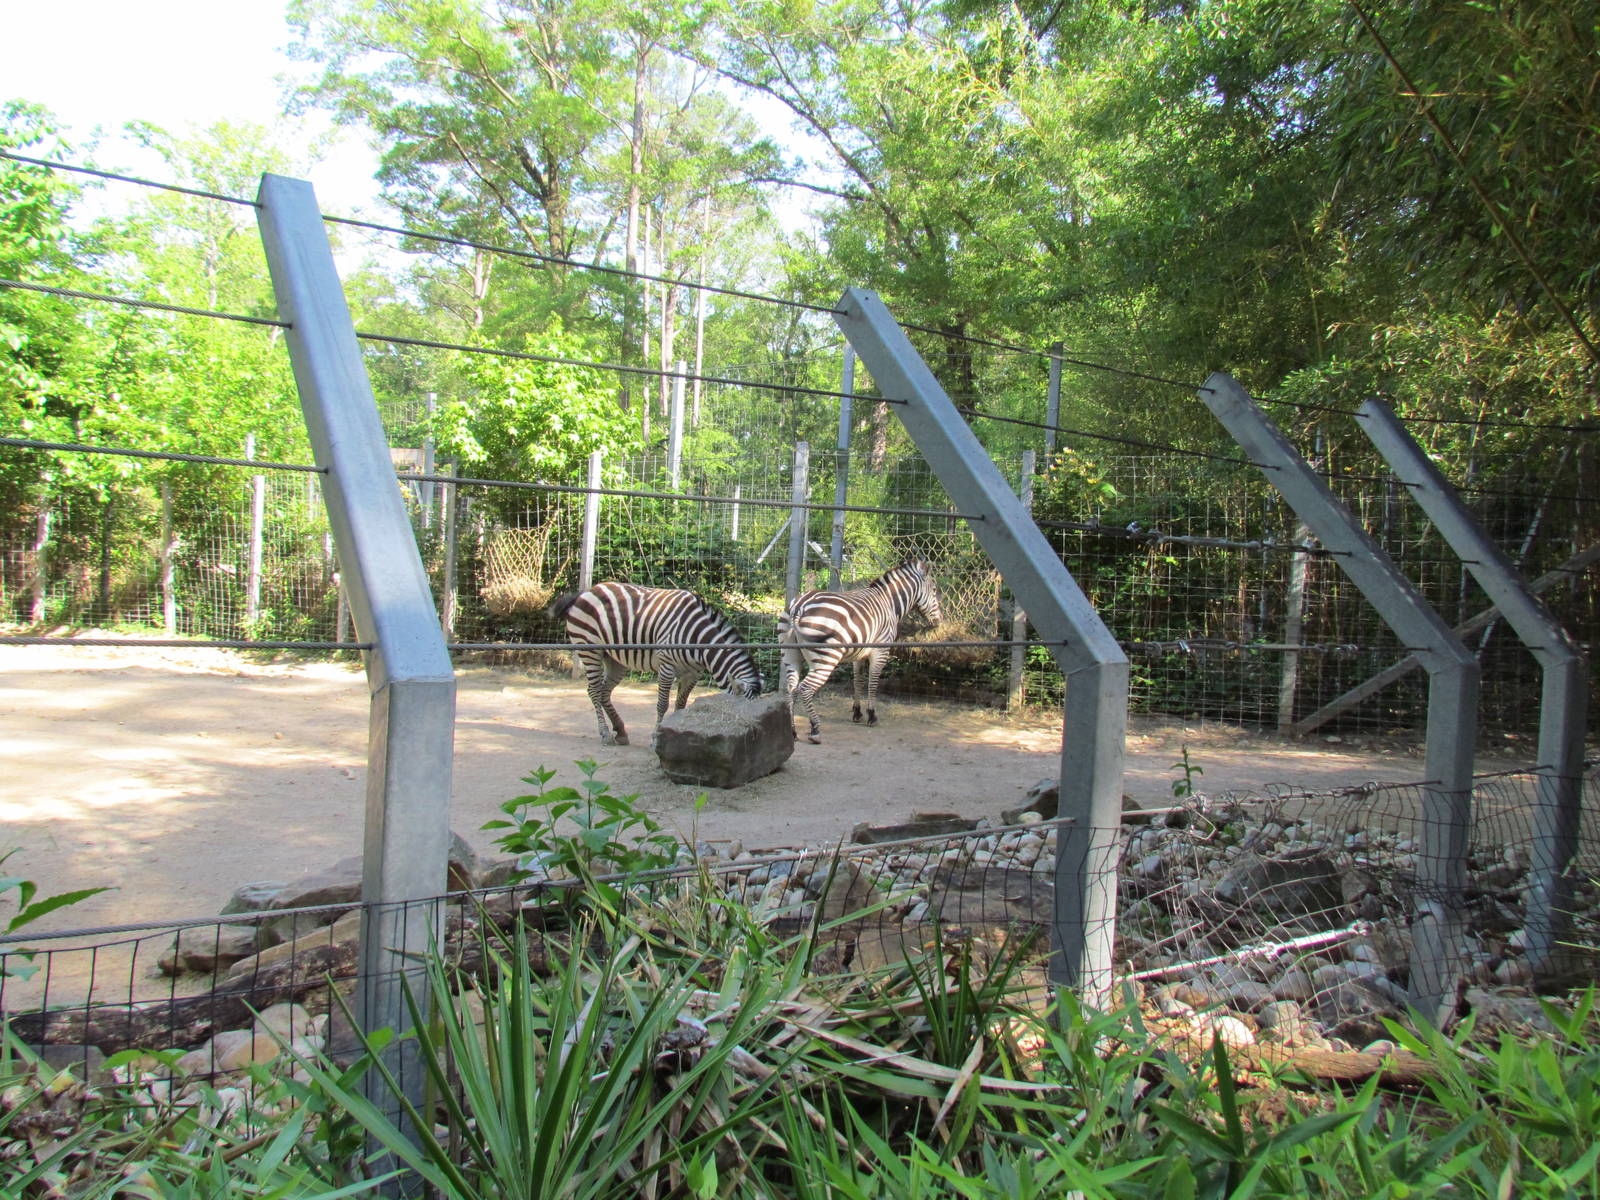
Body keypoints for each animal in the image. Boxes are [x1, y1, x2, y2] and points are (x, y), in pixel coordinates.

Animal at [549, 582, 762, 745]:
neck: (698, 638)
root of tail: (587, 591)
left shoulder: (693, 673)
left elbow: (681, 704)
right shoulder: (666, 666)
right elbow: (662, 705)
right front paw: (656, 738)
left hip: (615, 659)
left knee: (603, 692)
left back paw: (621, 731)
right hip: (589, 649)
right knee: (593, 691)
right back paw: (606, 734)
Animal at [778, 559, 943, 744]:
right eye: (934, 590)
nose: (939, 621)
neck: (889, 603)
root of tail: (799, 605)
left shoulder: (859, 654)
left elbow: (858, 680)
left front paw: (857, 712)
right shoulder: (881, 650)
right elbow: (873, 682)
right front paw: (872, 715)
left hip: (791, 656)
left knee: (791, 690)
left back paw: (791, 731)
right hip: (826, 658)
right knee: (805, 689)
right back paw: (815, 729)